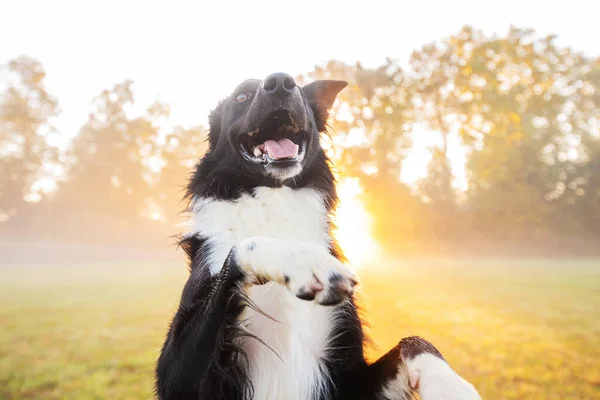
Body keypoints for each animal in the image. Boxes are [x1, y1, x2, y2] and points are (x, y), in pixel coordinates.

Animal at [156, 72, 482, 400]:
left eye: (299, 90)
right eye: (241, 96)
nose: (280, 81)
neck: (275, 200)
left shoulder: (348, 378)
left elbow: (414, 341)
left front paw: (449, 384)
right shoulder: (177, 378)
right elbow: (244, 246)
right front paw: (302, 262)